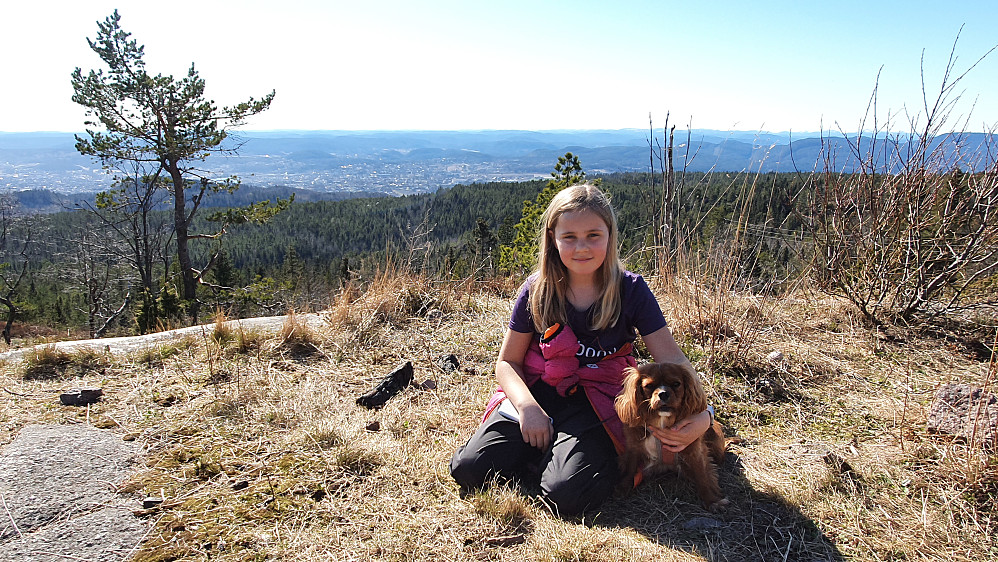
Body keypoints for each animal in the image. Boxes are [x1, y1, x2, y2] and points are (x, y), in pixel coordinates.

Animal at [612, 360, 732, 510]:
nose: (663, 394)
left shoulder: (695, 452)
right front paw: (624, 487)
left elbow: (703, 476)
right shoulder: (633, 447)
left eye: (676, 384)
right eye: (649, 386)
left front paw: (711, 500)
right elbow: (630, 467)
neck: (662, 422)